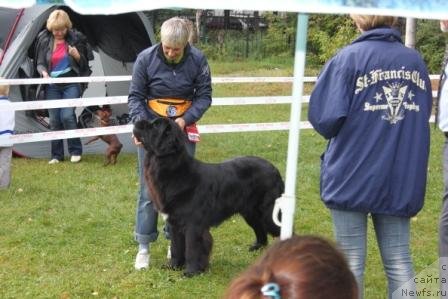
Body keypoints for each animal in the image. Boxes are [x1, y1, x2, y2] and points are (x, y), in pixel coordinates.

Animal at [132, 117, 284, 276]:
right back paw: (258, 247)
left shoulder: (193, 225)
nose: (137, 120)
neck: (174, 171)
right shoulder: (175, 223)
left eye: (155, 126)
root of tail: (274, 169)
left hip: (268, 212)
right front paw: (173, 266)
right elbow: (176, 247)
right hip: (250, 213)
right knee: (260, 229)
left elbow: (192, 249)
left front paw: (191, 272)